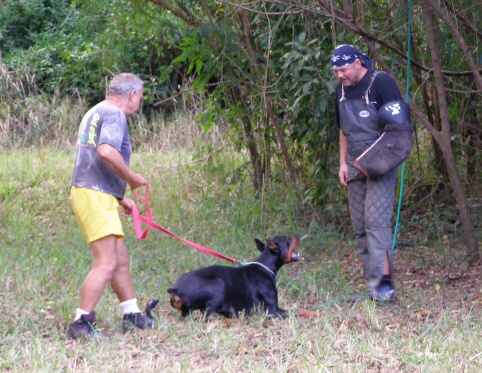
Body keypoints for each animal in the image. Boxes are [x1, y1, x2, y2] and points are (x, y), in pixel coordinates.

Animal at [168, 234, 300, 318]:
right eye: (287, 240)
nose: (297, 235)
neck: (264, 267)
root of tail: (176, 289)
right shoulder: (271, 310)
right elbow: (297, 311)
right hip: (218, 286)